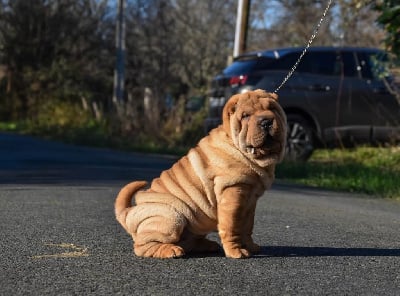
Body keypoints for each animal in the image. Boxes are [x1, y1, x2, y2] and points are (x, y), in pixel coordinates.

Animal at [114, 89, 286, 258]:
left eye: (272, 108)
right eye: (246, 116)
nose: (266, 121)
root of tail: (129, 212)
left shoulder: (251, 201)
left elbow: (247, 226)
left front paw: (250, 246)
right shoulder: (232, 194)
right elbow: (231, 226)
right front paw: (236, 251)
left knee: (188, 241)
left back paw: (208, 245)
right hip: (171, 217)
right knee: (143, 246)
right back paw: (171, 250)